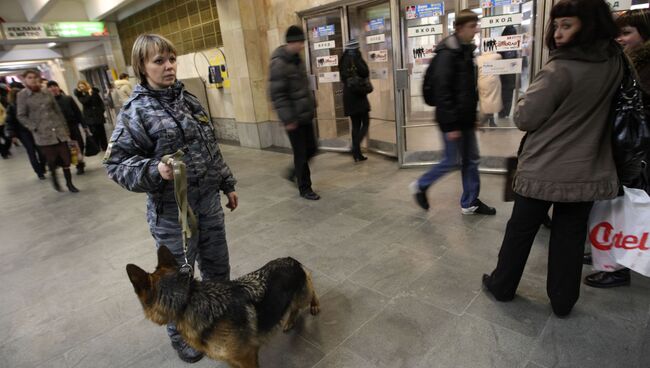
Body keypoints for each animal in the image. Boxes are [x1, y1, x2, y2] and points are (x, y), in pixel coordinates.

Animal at [124, 246, 318, 366]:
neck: (188, 300)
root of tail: (291, 259)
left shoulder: (247, 357)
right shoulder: (232, 359)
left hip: (303, 293)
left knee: (310, 282)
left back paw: (314, 305)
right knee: (294, 304)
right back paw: (289, 320)